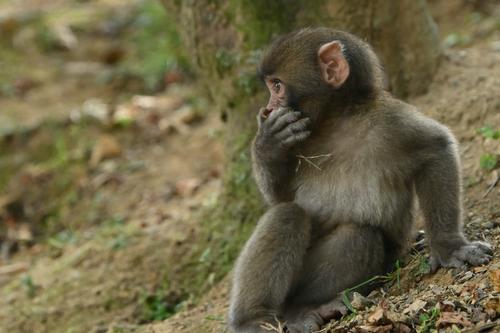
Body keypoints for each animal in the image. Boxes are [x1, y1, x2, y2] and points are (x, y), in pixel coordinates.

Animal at [228, 27, 492, 332]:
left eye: (277, 86)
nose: (268, 108)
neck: (336, 123)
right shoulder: (299, 143)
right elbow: (280, 198)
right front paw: (267, 144)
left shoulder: (390, 121)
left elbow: (436, 149)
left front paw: (450, 247)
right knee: (286, 214)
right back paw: (253, 319)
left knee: (361, 236)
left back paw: (304, 308)